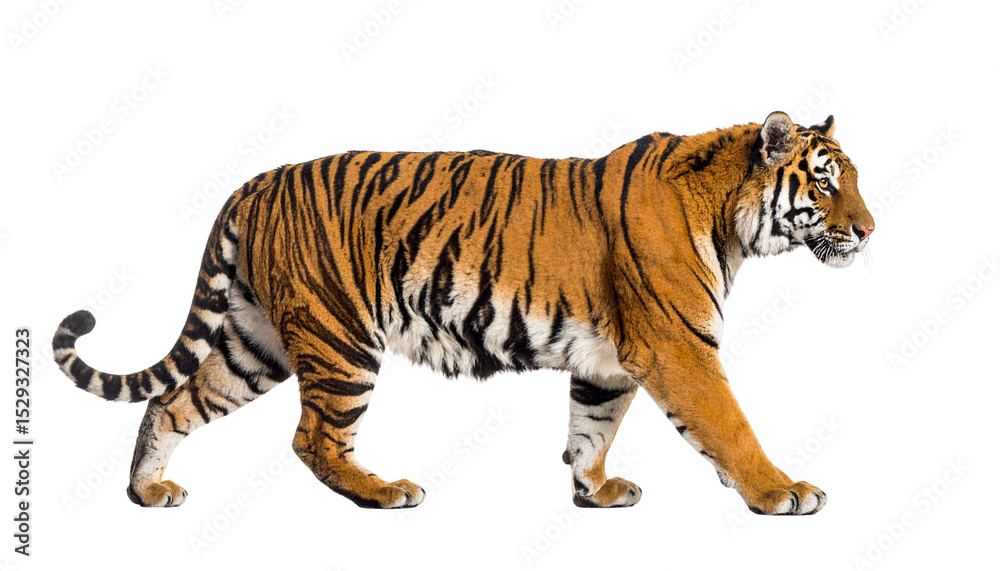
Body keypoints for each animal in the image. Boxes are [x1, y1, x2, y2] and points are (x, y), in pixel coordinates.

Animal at [53, 111, 873, 515]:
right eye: (826, 183)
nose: (870, 229)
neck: (732, 219)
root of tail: (255, 181)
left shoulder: (609, 363)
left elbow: (590, 428)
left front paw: (594, 491)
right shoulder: (681, 348)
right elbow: (731, 429)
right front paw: (782, 492)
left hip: (258, 344)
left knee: (172, 401)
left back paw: (146, 491)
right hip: (339, 338)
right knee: (312, 438)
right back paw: (383, 492)